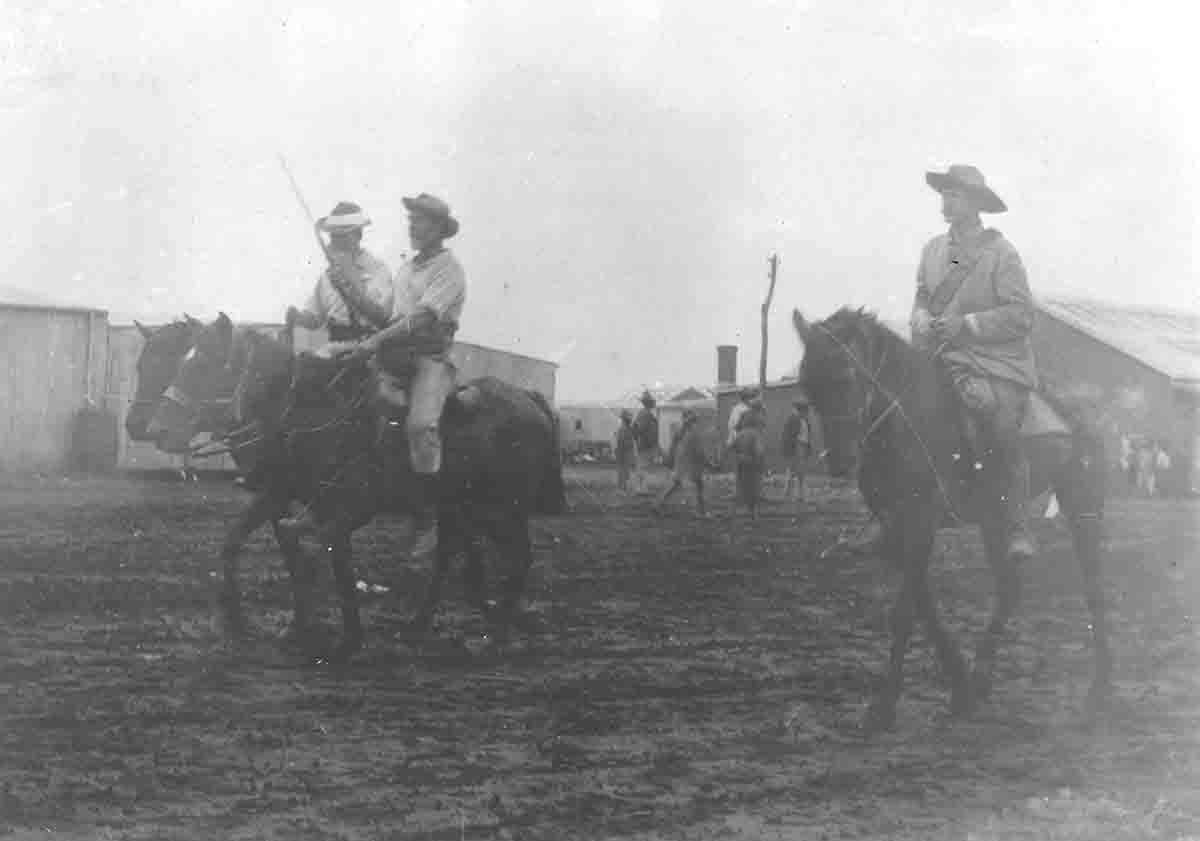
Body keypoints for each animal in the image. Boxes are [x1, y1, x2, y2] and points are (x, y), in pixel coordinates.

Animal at [146, 311, 566, 657]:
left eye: (203, 364)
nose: (156, 428)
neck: (311, 411)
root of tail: (529, 399)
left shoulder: (343, 507)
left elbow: (325, 557)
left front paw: (342, 638)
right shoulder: (287, 497)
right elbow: (254, 545)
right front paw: (262, 624)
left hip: (502, 509)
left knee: (517, 557)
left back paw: (495, 633)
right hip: (459, 506)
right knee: (450, 554)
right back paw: (422, 625)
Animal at [792, 307, 1108, 729]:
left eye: (846, 375)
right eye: (808, 384)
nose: (841, 462)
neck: (905, 418)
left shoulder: (921, 519)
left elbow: (904, 612)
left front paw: (884, 706)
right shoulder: (896, 527)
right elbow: (924, 606)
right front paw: (959, 686)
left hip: (1081, 502)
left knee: (1093, 588)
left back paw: (1099, 690)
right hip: (994, 516)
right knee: (1009, 589)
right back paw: (981, 678)